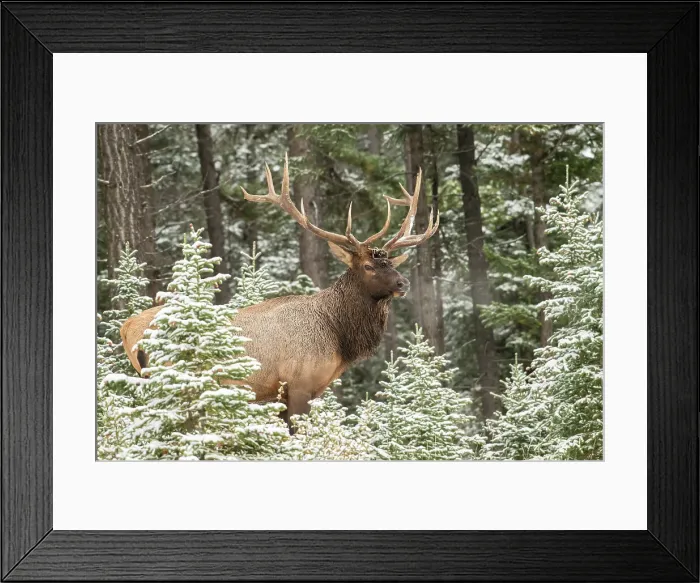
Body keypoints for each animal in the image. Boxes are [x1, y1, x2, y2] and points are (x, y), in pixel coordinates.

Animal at [120, 154, 439, 430]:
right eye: (368, 266)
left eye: (390, 263)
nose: (403, 283)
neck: (338, 335)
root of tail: (126, 327)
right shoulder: (298, 383)